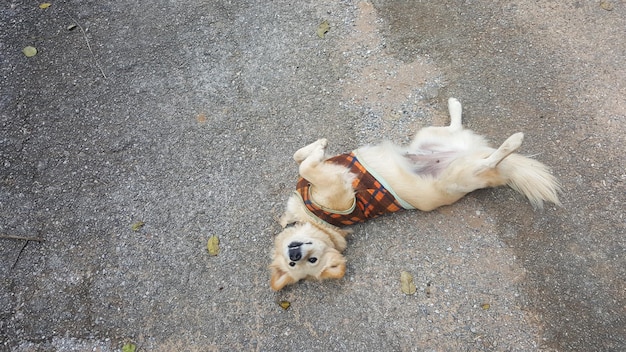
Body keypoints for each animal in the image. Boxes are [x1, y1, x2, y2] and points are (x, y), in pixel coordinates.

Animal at [268, 97, 560, 290]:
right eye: (304, 264)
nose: (294, 254)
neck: (317, 219)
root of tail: (468, 153)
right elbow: (306, 164)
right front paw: (317, 151)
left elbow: (300, 159)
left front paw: (319, 145)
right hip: (459, 176)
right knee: (490, 161)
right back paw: (512, 141)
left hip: (426, 137)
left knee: (458, 131)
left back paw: (457, 107)